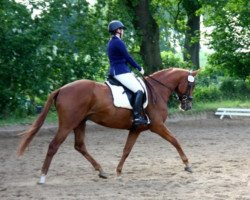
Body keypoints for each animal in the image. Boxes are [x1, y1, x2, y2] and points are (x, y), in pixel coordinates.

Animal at [16, 67, 198, 184]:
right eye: (191, 85)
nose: (187, 106)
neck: (157, 91)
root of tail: (61, 89)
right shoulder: (157, 126)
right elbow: (175, 141)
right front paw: (187, 165)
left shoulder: (136, 129)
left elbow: (126, 150)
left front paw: (118, 173)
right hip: (68, 124)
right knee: (54, 146)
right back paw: (42, 177)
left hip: (80, 123)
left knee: (79, 146)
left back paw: (101, 171)